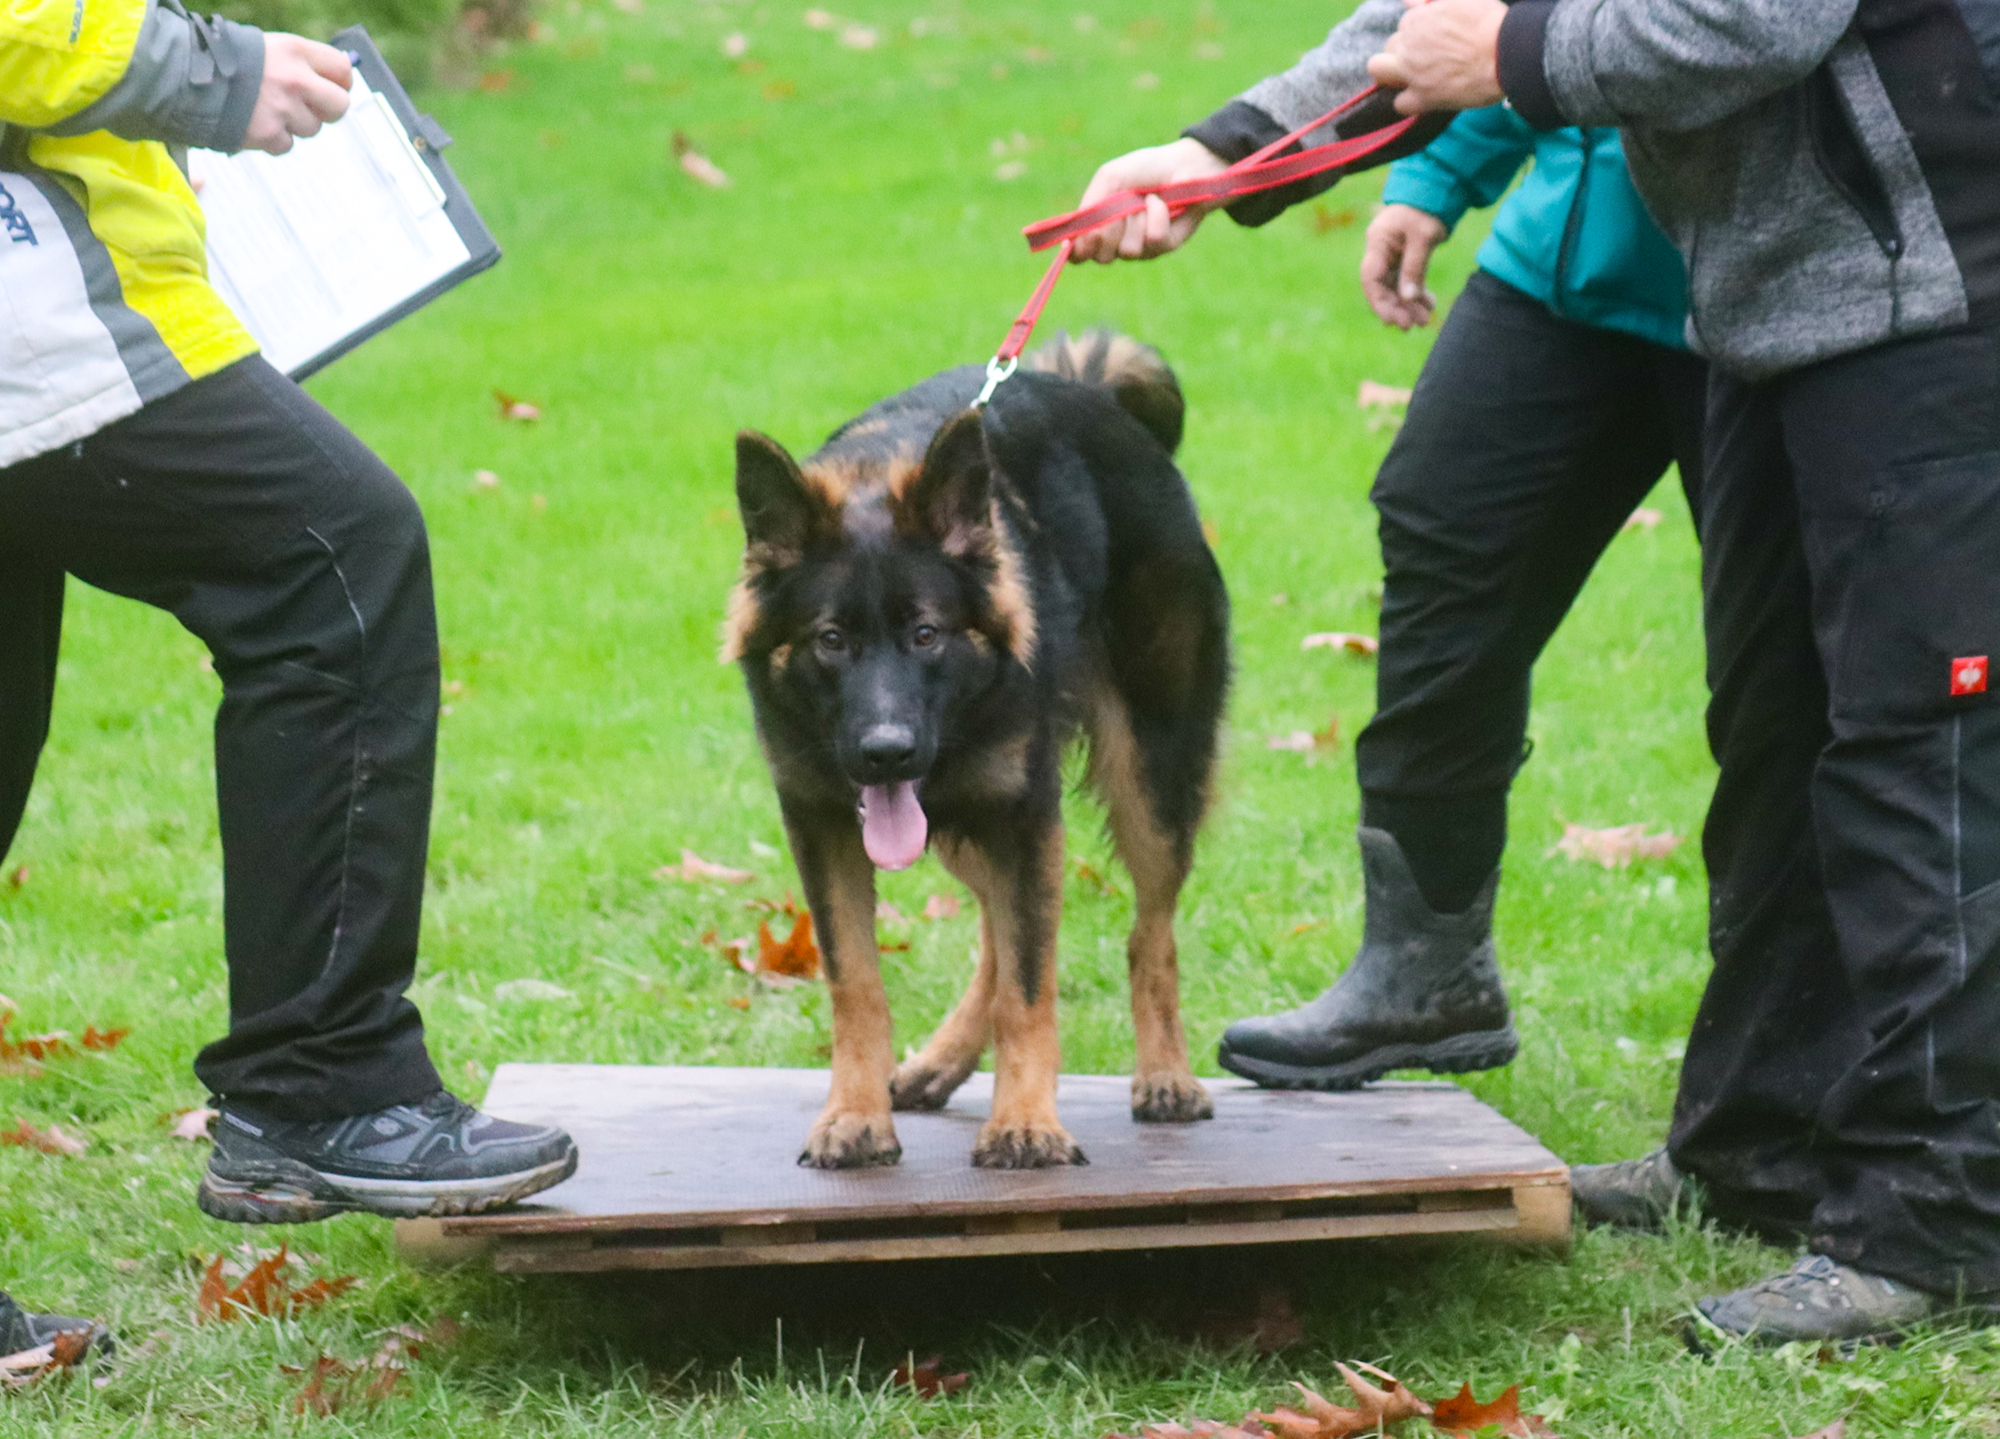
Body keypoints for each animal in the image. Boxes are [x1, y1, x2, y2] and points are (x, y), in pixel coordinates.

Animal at [728, 337, 1224, 1167]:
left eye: (926, 634)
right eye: (832, 640)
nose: (886, 753)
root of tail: (1090, 388)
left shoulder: (1022, 815)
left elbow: (1030, 986)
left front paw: (1026, 1120)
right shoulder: (826, 826)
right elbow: (856, 982)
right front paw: (854, 1113)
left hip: (1145, 784)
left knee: (1147, 934)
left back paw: (1164, 1074)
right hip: (965, 816)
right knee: (998, 926)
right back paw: (939, 1060)